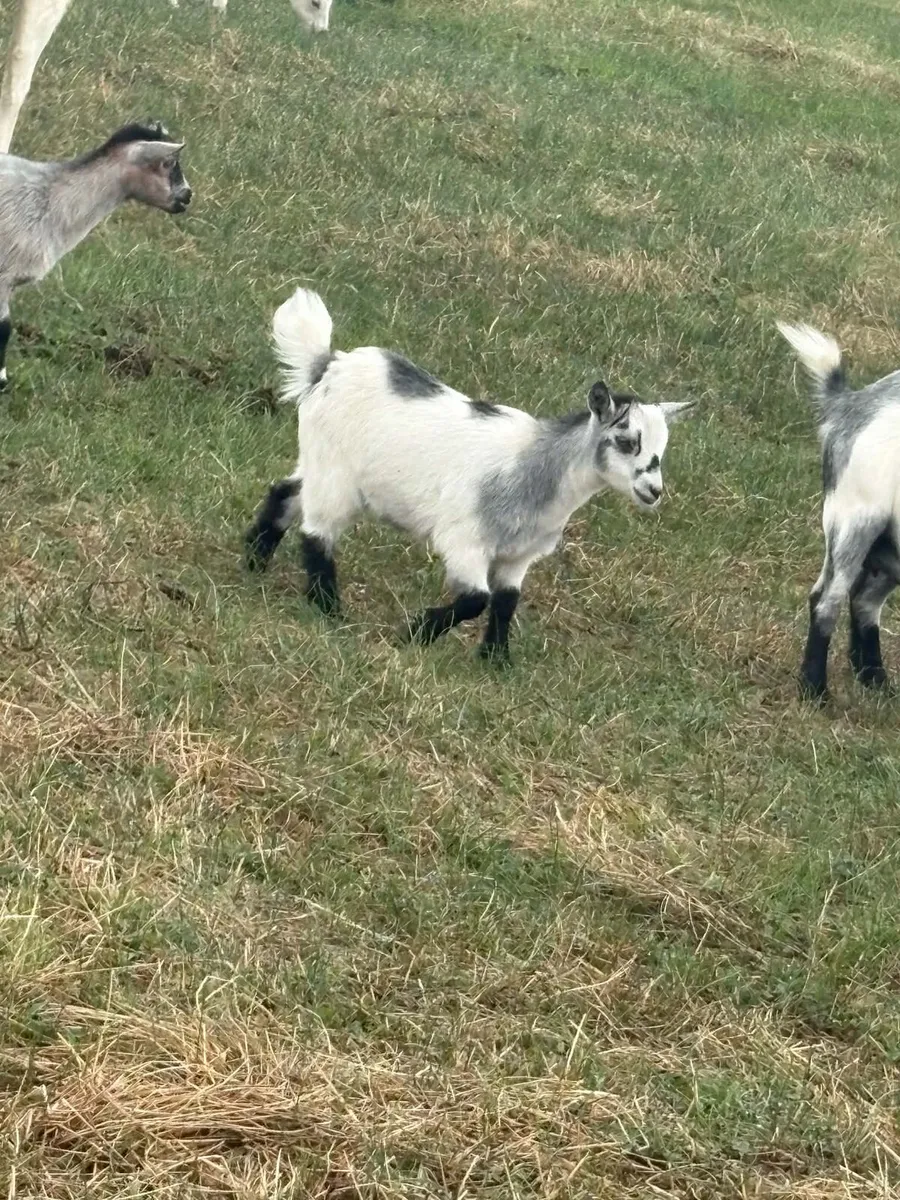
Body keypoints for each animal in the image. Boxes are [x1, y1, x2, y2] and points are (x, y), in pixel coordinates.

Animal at [245, 289, 695, 663]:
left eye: (661, 450)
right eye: (627, 441)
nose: (653, 490)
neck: (535, 468)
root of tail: (326, 366)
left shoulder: (518, 555)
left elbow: (505, 602)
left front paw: (496, 661)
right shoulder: (465, 540)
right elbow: (476, 599)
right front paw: (416, 632)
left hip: (322, 463)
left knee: (285, 493)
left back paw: (254, 561)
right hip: (335, 473)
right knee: (317, 532)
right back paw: (326, 608)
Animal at [780, 321, 900, 702]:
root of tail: (849, 404)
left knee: (863, 600)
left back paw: (874, 680)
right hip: (856, 519)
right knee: (826, 599)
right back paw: (815, 691)